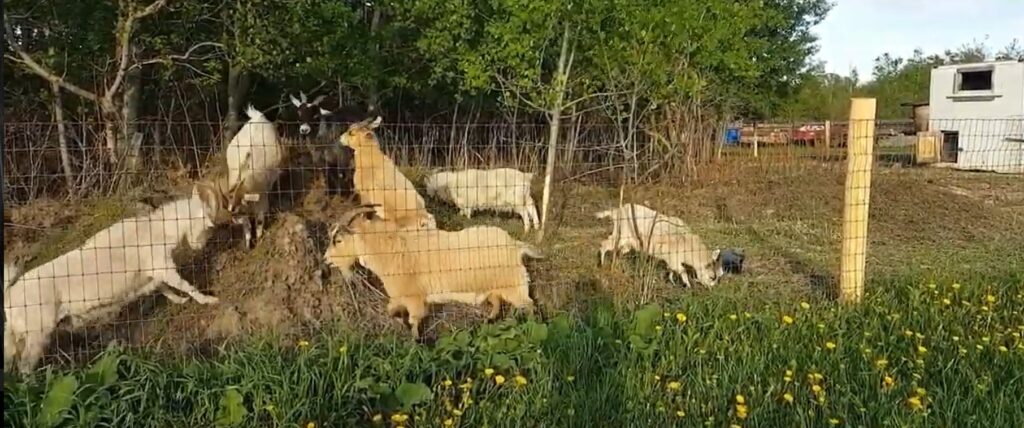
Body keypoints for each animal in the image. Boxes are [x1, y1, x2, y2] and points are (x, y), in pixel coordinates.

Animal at [4, 182, 230, 374]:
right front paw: (208, 299)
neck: (156, 230)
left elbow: (161, 287)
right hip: (37, 334)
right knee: (25, 366)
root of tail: (9, 296)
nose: (200, 245)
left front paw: (179, 300)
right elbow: (184, 284)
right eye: (208, 223)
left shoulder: (151, 272)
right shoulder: (162, 266)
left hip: (18, 337)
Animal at [226, 105, 286, 248]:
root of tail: (258, 117)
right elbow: (247, 226)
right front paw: (248, 244)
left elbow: (259, 220)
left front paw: (259, 239)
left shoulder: (262, 196)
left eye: (238, 210)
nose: (233, 219)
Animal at [323, 205, 542, 339]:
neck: (391, 248)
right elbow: (390, 310)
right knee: (497, 302)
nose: (326, 259)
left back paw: (532, 330)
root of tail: (515, 245)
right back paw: (489, 320)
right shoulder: (399, 297)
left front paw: (416, 343)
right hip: (494, 285)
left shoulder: (414, 299)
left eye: (338, 240)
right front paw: (399, 323)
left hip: (514, 284)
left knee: (530, 305)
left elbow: (414, 321)